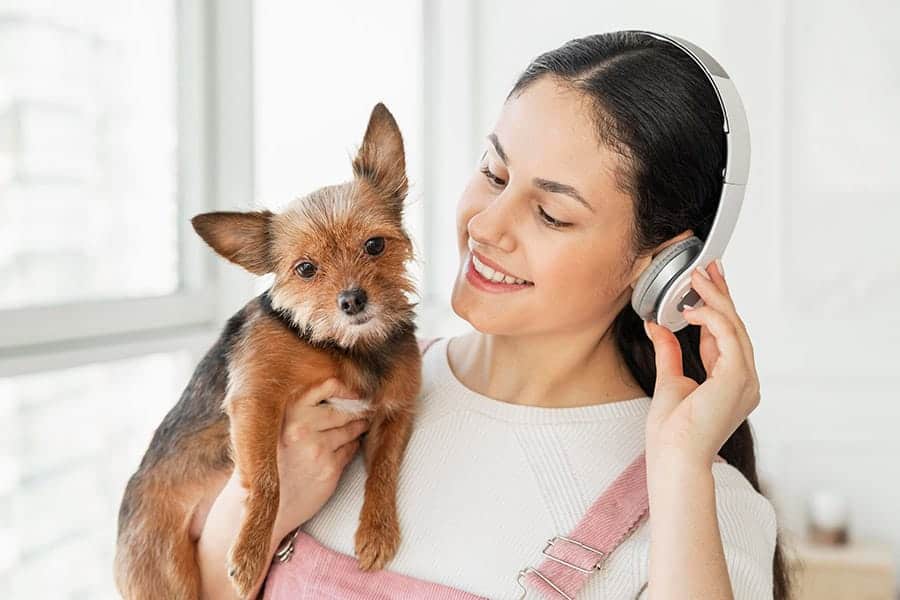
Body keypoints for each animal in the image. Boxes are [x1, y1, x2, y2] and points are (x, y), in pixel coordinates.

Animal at [114, 103, 420, 600]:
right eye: (305, 269)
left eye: (375, 244)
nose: (352, 301)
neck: (344, 347)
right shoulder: (256, 399)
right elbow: (268, 480)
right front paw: (250, 551)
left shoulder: (394, 412)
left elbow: (383, 470)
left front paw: (377, 530)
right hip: (165, 574)